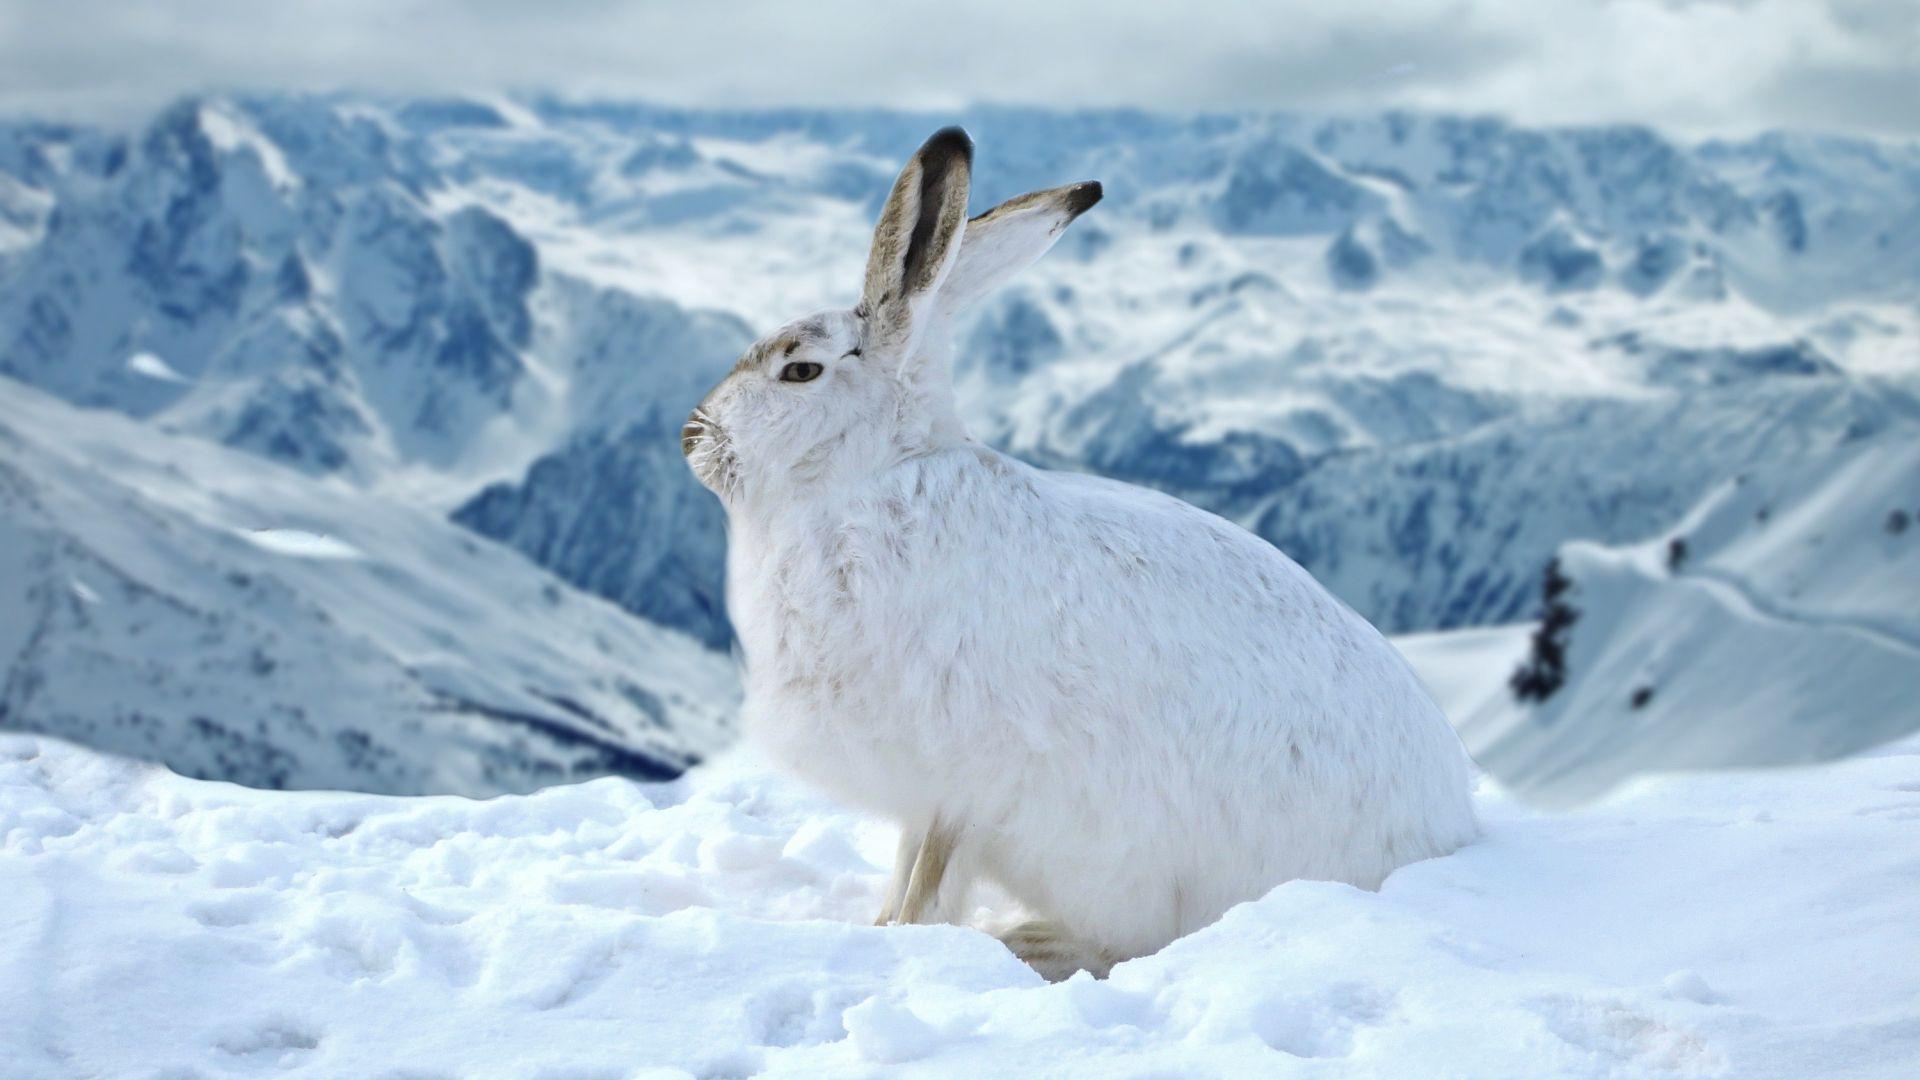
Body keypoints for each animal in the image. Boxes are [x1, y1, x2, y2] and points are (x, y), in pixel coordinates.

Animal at [683, 127, 1479, 980]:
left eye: (799, 370)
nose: (692, 439)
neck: (869, 475)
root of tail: (1445, 839)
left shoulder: (954, 781)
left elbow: (929, 876)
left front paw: (903, 940)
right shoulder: (921, 795)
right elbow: (902, 867)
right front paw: (876, 925)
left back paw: (1030, 942)